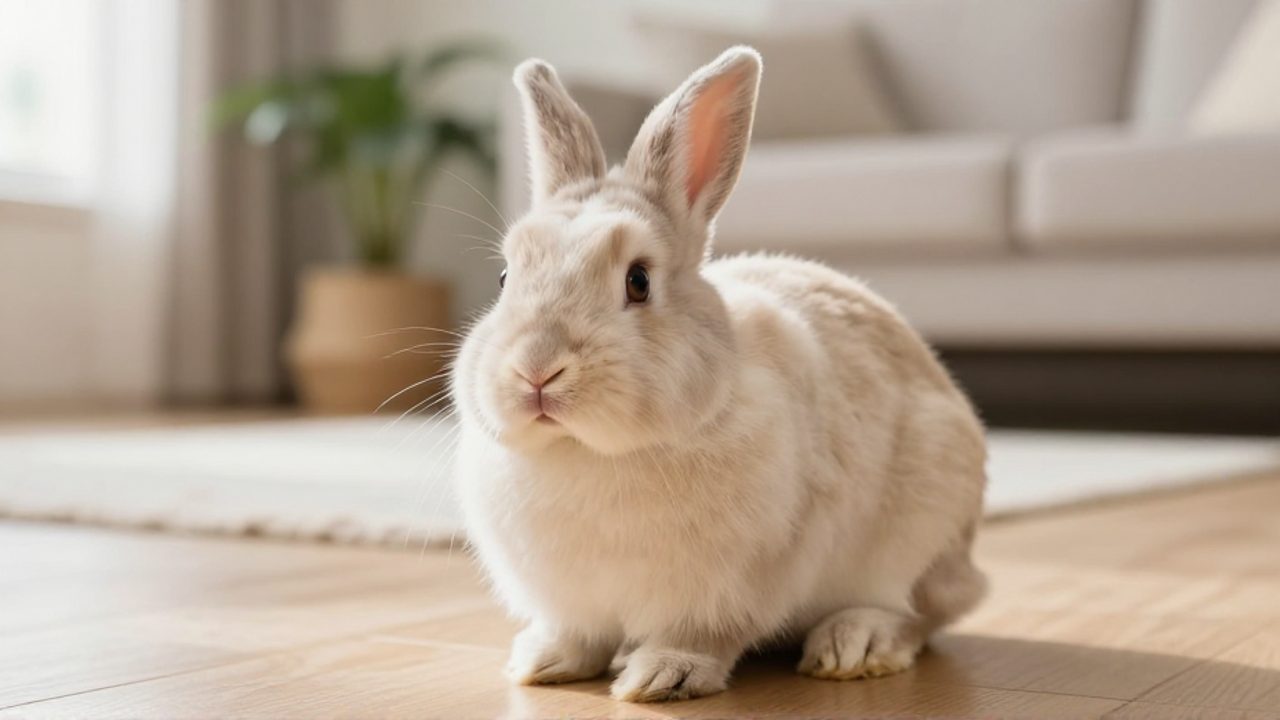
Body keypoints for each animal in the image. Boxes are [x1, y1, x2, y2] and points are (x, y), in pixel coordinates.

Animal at [449, 46, 988, 703]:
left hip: (922, 530)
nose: (536, 371)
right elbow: (577, 634)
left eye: (638, 281)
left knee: (920, 613)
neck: (588, 452)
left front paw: (661, 676)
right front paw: (542, 662)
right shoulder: (571, 601)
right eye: (505, 279)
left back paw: (852, 645)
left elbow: (702, 637)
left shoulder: (731, 588)